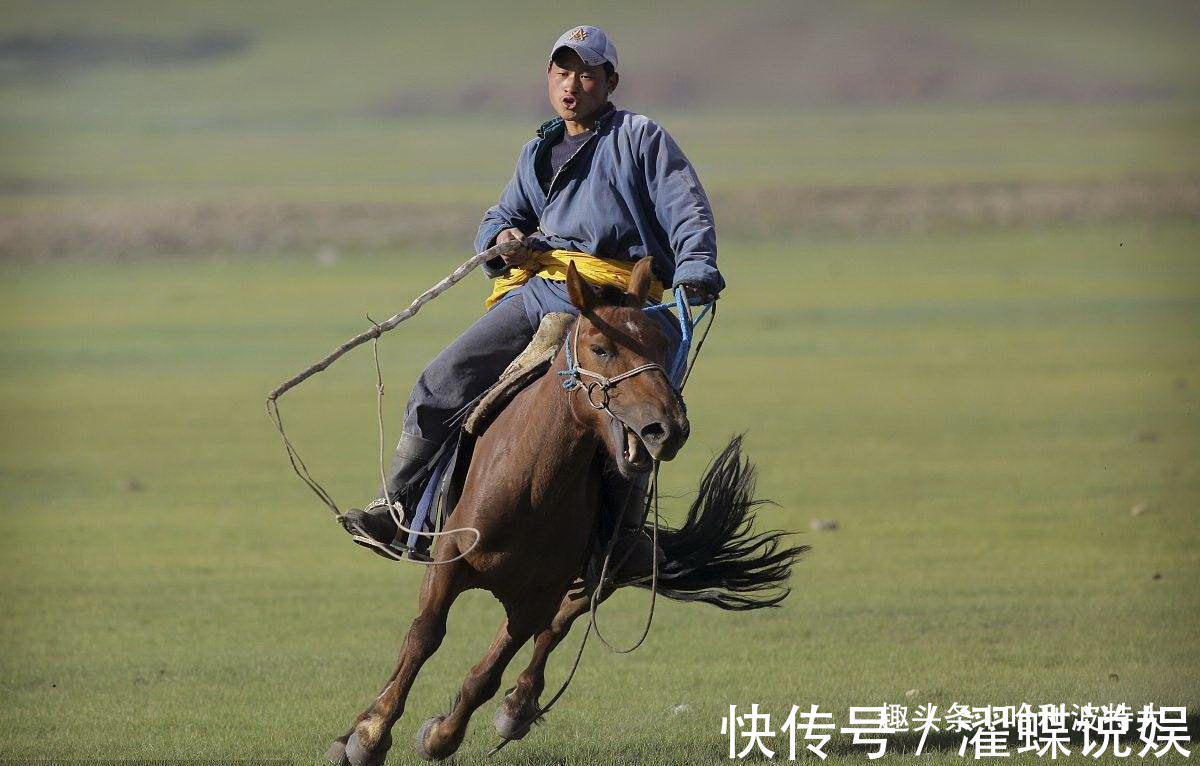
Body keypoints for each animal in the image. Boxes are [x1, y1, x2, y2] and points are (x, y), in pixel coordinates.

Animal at [326, 259, 806, 766]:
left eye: (662, 343)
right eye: (600, 347)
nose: (668, 428)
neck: (530, 485)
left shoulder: (539, 594)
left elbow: (490, 671)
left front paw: (442, 735)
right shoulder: (448, 565)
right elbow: (423, 637)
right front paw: (367, 734)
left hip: (601, 570)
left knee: (555, 628)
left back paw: (517, 709)